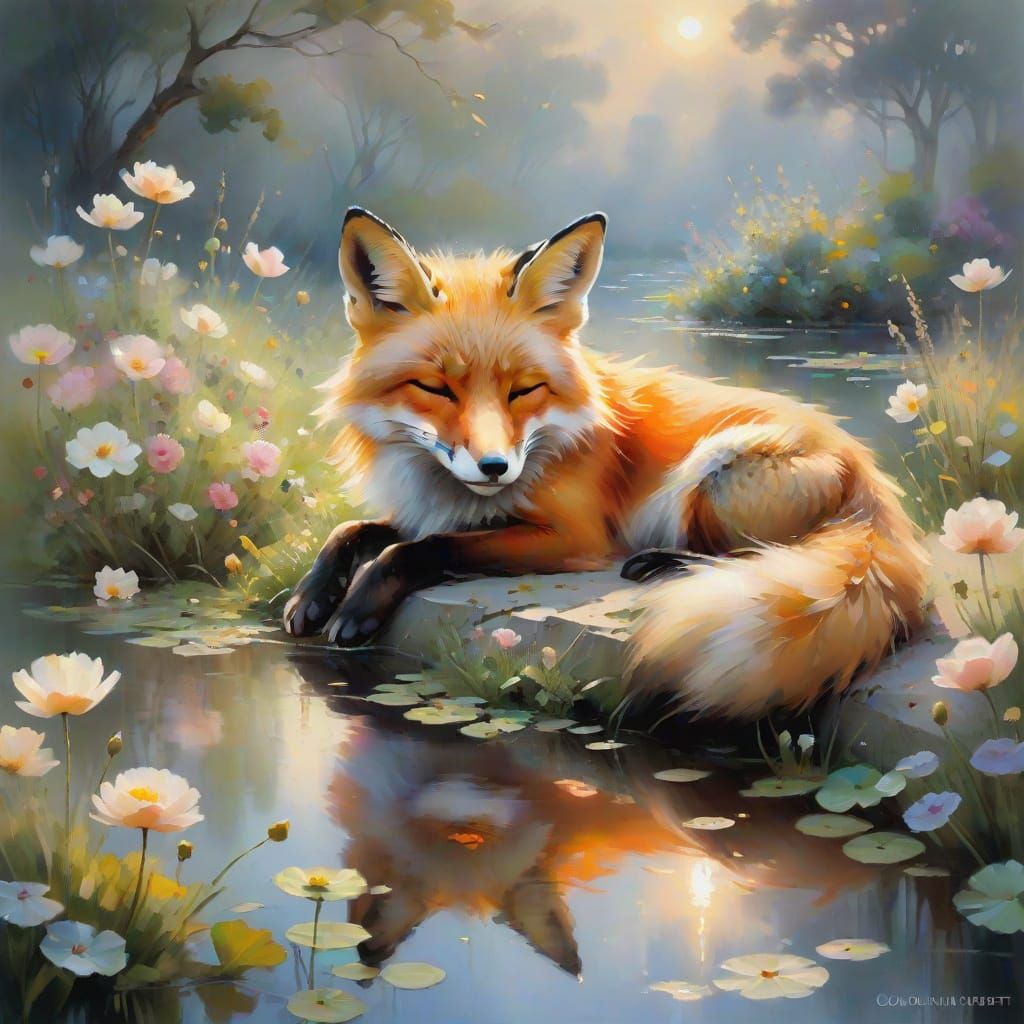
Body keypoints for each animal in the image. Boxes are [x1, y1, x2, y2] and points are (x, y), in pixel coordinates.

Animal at [283, 206, 928, 719]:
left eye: (524, 389)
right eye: (436, 388)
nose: (494, 467)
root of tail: (874, 481)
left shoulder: (571, 536)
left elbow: (418, 549)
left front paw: (356, 607)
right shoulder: (431, 509)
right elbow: (355, 530)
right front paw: (312, 595)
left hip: (712, 471)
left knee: (758, 555)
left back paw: (665, 564)